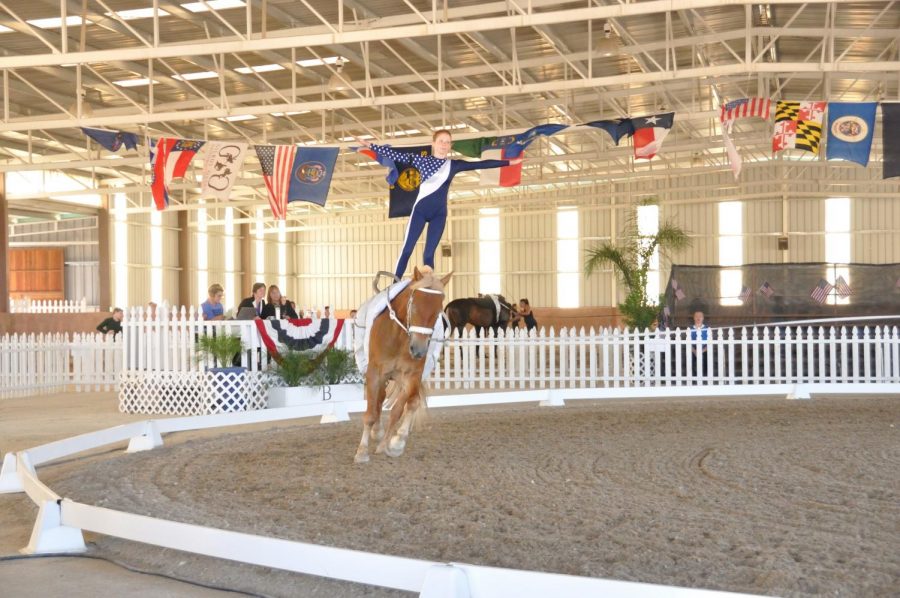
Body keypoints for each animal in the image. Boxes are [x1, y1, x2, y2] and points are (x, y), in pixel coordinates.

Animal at [352, 264, 450, 466]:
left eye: (439, 311)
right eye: (414, 305)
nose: (418, 350)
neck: (399, 337)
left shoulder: (412, 376)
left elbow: (402, 408)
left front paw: (393, 443)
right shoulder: (375, 373)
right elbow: (371, 412)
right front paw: (362, 452)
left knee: (402, 402)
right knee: (378, 400)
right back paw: (376, 432)